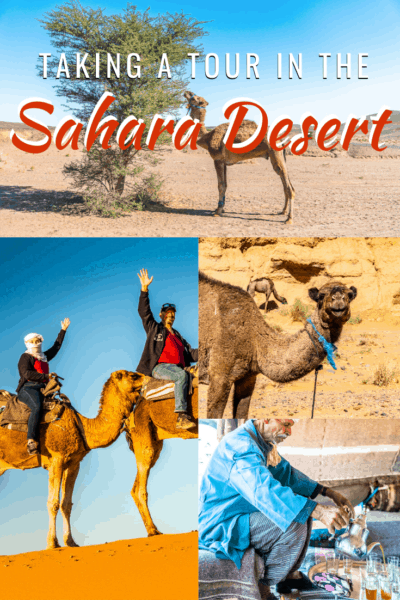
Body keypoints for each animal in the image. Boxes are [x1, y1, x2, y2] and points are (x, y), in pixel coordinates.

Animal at [0, 370, 146, 548]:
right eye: (133, 376)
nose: (148, 378)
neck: (82, 426)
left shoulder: (73, 464)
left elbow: (66, 504)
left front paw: (70, 542)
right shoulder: (56, 459)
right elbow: (53, 503)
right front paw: (52, 543)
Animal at [124, 378, 198, 536]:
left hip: (154, 441)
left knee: (135, 487)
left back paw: (152, 529)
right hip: (143, 433)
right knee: (140, 487)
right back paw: (153, 530)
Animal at [184, 92, 294, 224]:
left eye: (195, 98)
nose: (186, 93)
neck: (207, 136)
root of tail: (281, 139)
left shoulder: (217, 159)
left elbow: (220, 185)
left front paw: (217, 212)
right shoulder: (224, 162)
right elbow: (225, 185)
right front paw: (221, 208)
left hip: (275, 154)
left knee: (288, 186)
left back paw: (289, 218)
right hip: (278, 156)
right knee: (286, 183)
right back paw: (282, 211)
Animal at [198, 272, 358, 418]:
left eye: (350, 295)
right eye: (321, 296)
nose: (338, 303)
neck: (255, 339)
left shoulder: (248, 377)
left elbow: (241, 416)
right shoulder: (219, 376)